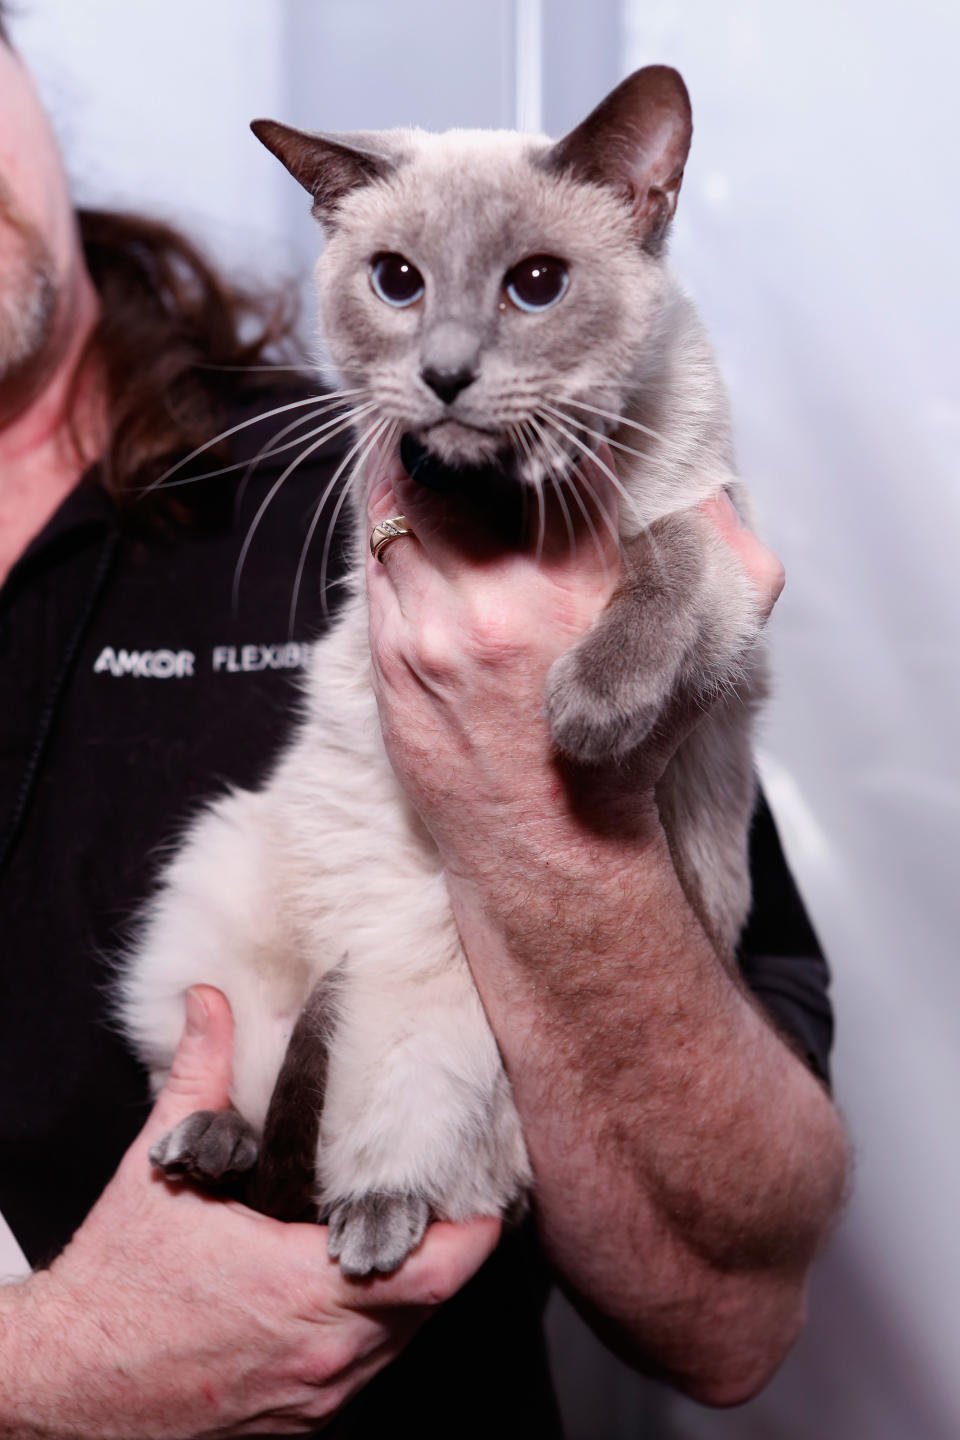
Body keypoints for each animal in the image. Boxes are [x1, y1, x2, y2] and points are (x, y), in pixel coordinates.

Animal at [118, 67, 765, 1278]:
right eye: (398, 282)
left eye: (538, 285)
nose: (448, 376)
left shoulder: (715, 538)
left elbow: (661, 560)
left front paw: (589, 713)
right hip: (224, 877)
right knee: (251, 1090)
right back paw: (211, 1144)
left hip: (454, 1018)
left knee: (421, 1166)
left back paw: (372, 1216)